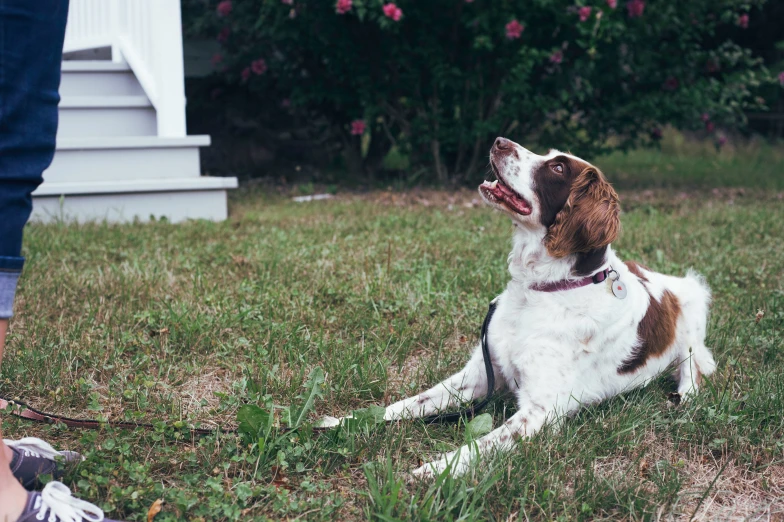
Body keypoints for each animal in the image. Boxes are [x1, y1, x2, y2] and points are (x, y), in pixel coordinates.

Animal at [322, 135, 712, 476]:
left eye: (557, 167)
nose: (498, 141)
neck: (542, 289)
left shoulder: (540, 411)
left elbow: (476, 446)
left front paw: (430, 472)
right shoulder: (479, 374)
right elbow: (405, 404)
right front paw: (343, 421)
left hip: (694, 309)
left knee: (695, 369)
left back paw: (682, 397)